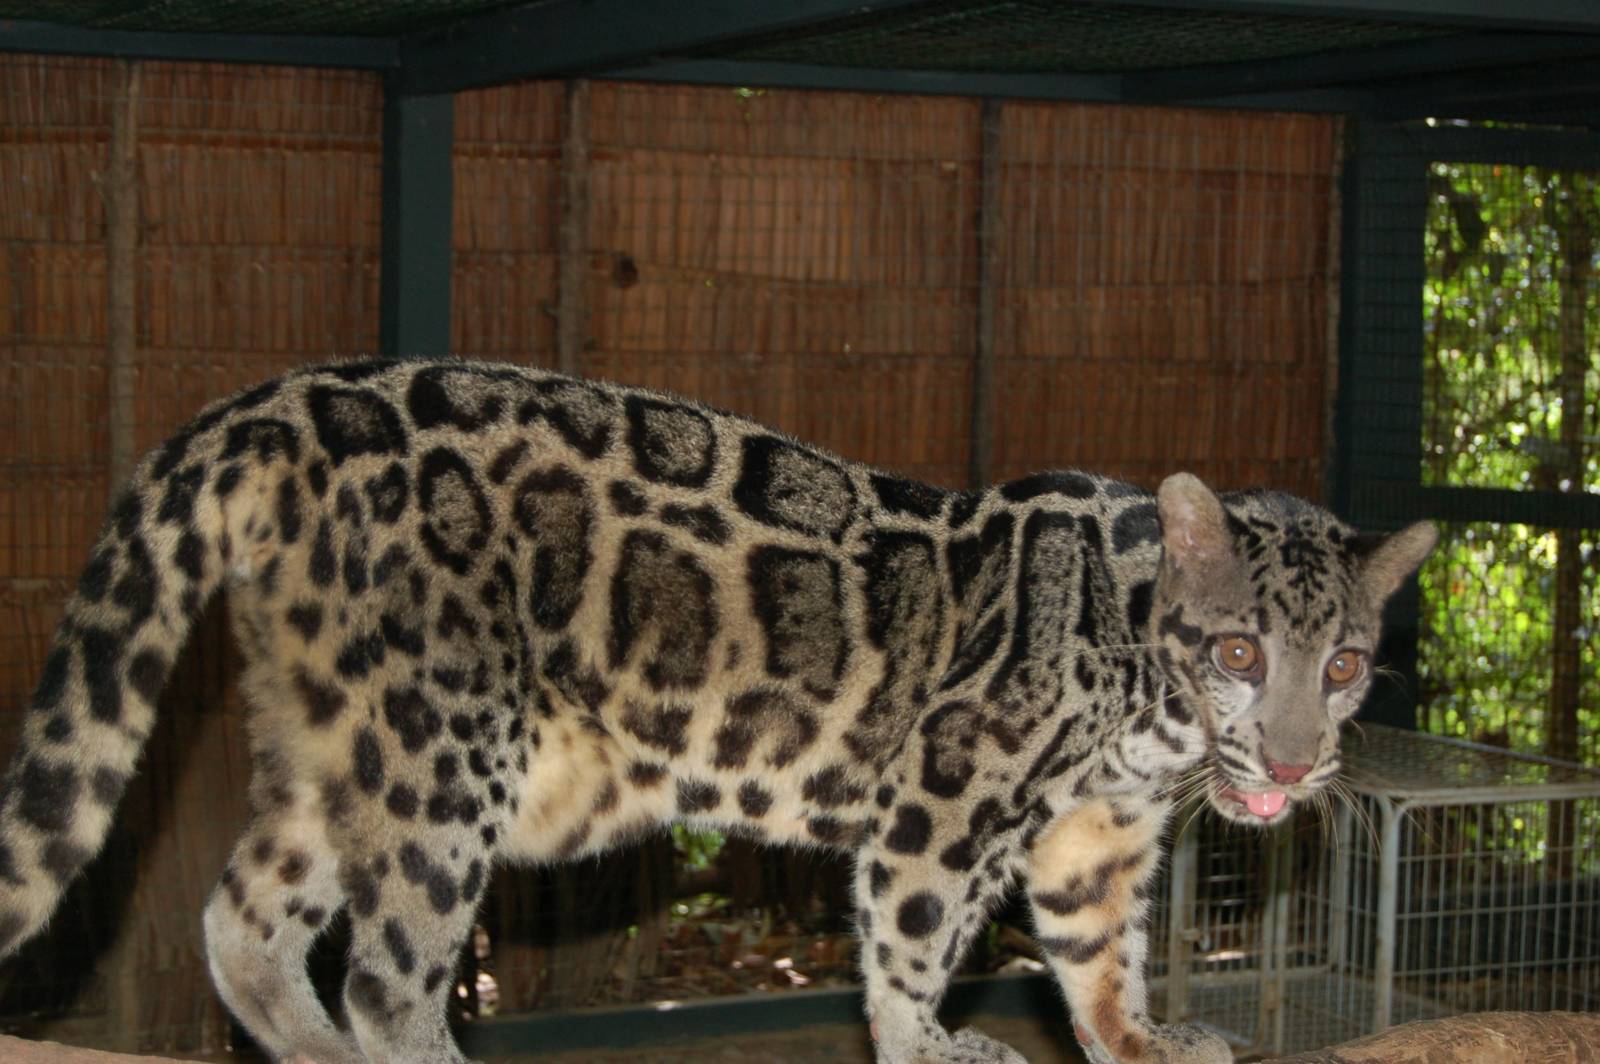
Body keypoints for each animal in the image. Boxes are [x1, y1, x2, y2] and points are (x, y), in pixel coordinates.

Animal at [0, 357, 1435, 1064]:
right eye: (1241, 648)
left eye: (1346, 663)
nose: (1295, 763)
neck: (1153, 724)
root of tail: (277, 403)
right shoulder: (948, 787)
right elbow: (912, 938)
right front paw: (932, 1044)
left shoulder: (1099, 835)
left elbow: (1099, 955)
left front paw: (1143, 1039)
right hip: (438, 741)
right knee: (387, 972)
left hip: (331, 737)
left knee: (243, 916)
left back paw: (307, 1052)